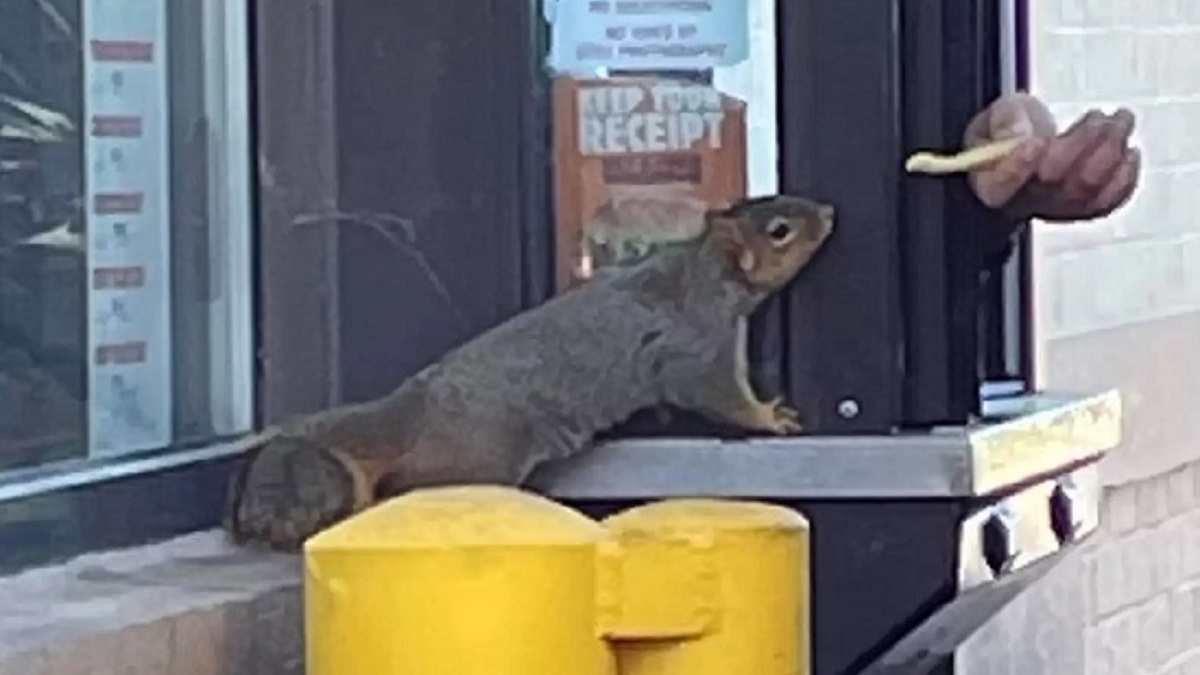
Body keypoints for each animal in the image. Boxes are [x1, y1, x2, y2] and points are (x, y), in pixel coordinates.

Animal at [225, 192, 835, 550]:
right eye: (780, 230)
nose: (829, 214)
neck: (704, 267)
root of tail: (414, 408)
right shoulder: (697, 345)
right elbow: (718, 397)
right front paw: (769, 416)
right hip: (479, 455)